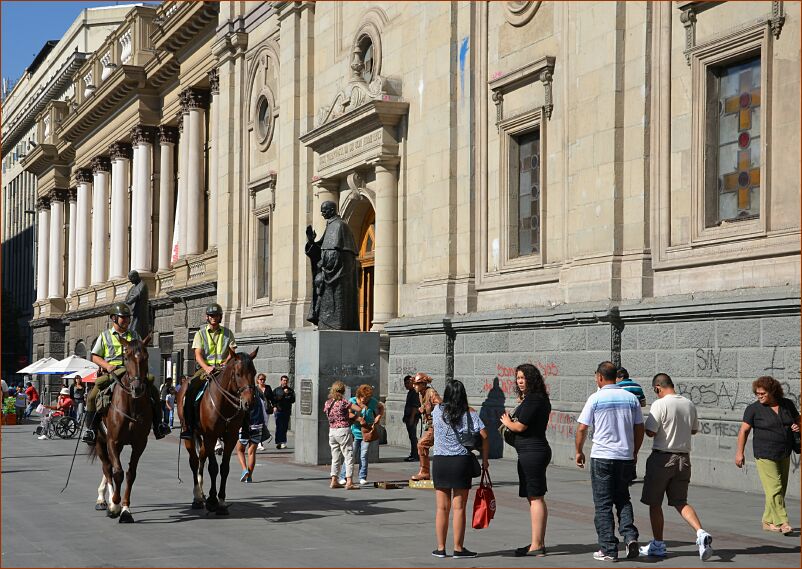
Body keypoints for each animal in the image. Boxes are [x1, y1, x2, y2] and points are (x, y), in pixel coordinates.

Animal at [90, 332, 153, 524]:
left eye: (146, 357)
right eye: (126, 357)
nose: (137, 388)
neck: (132, 405)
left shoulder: (139, 444)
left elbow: (131, 473)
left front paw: (125, 509)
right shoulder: (113, 441)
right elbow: (117, 472)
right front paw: (115, 506)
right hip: (100, 442)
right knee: (107, 468)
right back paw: (106, 501)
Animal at [177, 346, 258, 516]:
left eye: (254, 372)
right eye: (238, 373)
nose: (249, 402)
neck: (224, 404)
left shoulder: (231, 438)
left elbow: (224, 468)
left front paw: (221, 501)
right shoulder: (211, 436)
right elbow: (213, 468)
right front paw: (213, 501)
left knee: (201, 459)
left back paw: (201, 494)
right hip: (190, 434)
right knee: (194, 462)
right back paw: (197, 497)